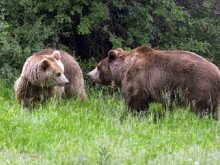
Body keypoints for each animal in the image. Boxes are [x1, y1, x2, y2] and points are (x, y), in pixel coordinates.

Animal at [87, 46, 220, 118]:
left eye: (98, 66)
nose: (88, 74)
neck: (123, 70)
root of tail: (217, 71)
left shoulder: (137, 77)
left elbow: (135, 101)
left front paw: (135, 115)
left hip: (197, 85)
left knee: (203, 107)